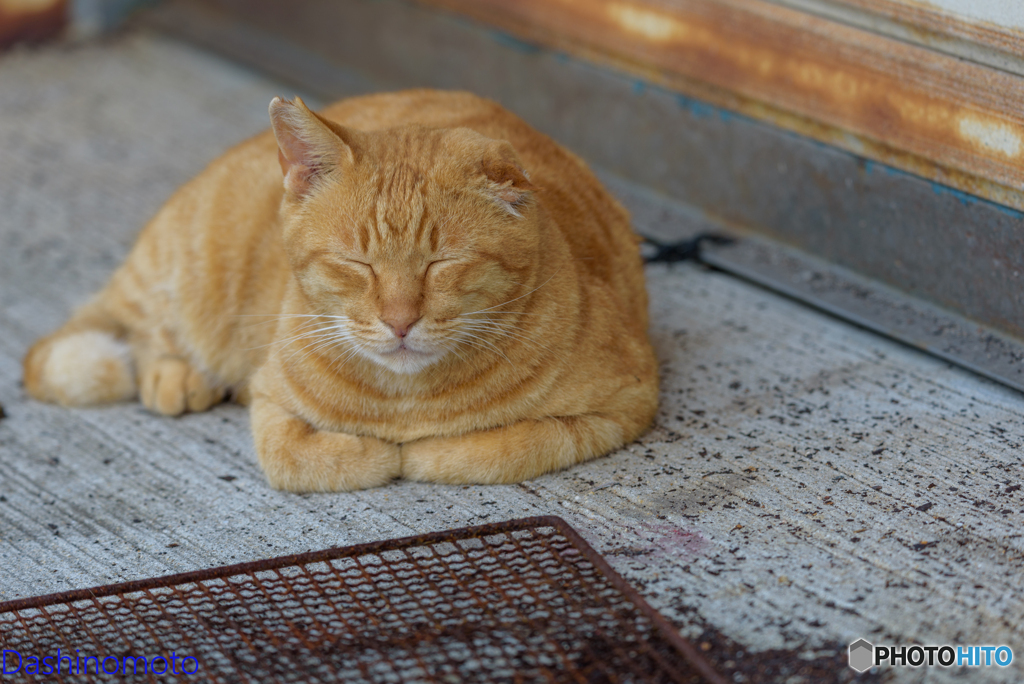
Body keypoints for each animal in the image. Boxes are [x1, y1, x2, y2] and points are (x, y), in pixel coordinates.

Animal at [25, 89, 663, 491]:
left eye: (441, 264)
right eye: (358, 265)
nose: (400, 321)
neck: (404, 401)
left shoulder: (627, 402)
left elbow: (507, 445)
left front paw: (425, 452)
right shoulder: (271, 401)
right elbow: (297, 457)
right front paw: (375, 453)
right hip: (185, 270)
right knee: (136, 326)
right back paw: (177, 374)